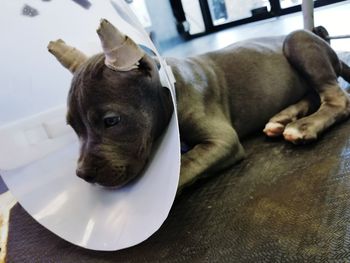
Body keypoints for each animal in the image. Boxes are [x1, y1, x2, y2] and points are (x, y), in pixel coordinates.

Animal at [47, 19, 350, 192]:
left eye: (111, 121)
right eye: (73, 127)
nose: (83, 174)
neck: (169, 90)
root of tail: (321, 37)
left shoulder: (222, 140)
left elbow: (188, 164)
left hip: (297, 41)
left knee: (338, 99)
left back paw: (304, 126)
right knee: (314, 95)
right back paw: (283, 118)